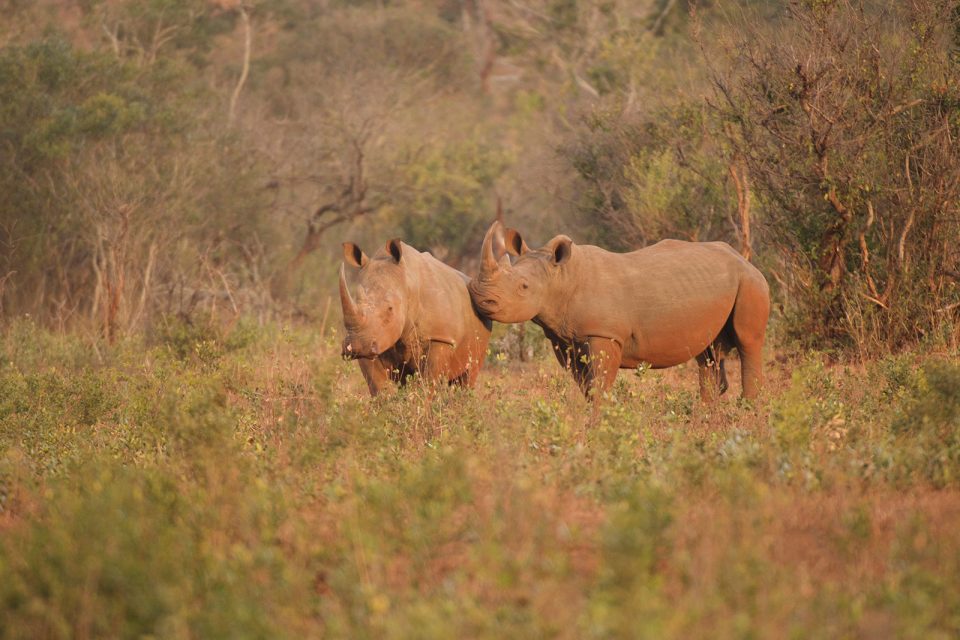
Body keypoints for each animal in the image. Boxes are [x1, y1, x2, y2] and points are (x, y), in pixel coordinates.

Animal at [338, 235, 492, 396]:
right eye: (356, 301)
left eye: (390, 309)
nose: (356, 346)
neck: (407, 285)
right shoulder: (375, 339)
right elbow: (378, 385)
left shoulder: (440, 337)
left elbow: (428, 382)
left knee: (468, 375)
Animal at [468, 221, 768, 400]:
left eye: (524, 286)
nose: (479, 297)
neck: (560, 279)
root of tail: (744, 259)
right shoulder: (565, 340)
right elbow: (586, 387)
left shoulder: (605, 334)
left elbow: (599, 386)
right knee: (708, 354)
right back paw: (706, 415)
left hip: (751, 282)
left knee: (747, 342)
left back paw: (748, 410)